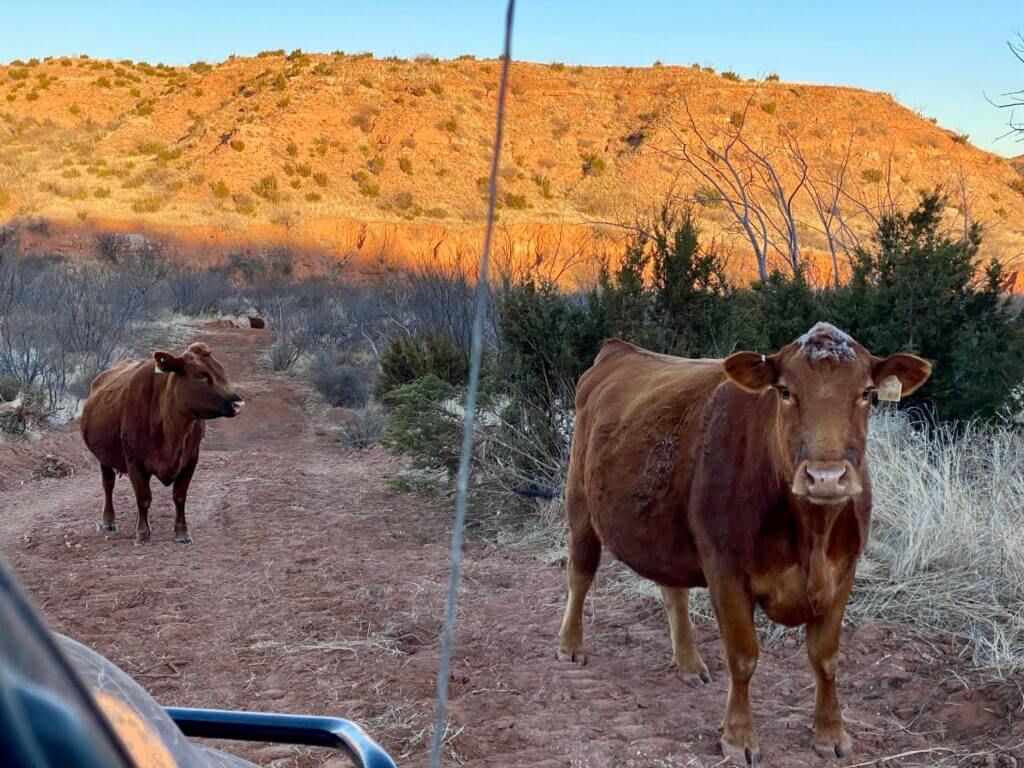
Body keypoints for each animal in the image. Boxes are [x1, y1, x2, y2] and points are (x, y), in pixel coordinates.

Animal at [80, 342, 244, 546]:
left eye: (222, 371)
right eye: (201, 375)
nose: (238, 404)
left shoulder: (190, 459)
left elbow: (179, 496)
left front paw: (182, 532)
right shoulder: (134, 461)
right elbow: (143, 498)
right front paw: (142, 534)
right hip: (104, 458)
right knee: (108, 484)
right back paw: (109, 521)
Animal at [558, 323, 931, 764]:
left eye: (866, 393)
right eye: (784, 391)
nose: (825, 477)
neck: (812, 536)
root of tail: (619, 349)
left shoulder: (845, 570)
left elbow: (826, 658)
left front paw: (831, 732)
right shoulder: (726, 570)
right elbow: (742, 657)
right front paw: (738, 737)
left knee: (673, 592)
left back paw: (689, 664)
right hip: (580, 504)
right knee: (580, 574)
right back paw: (570, 645)